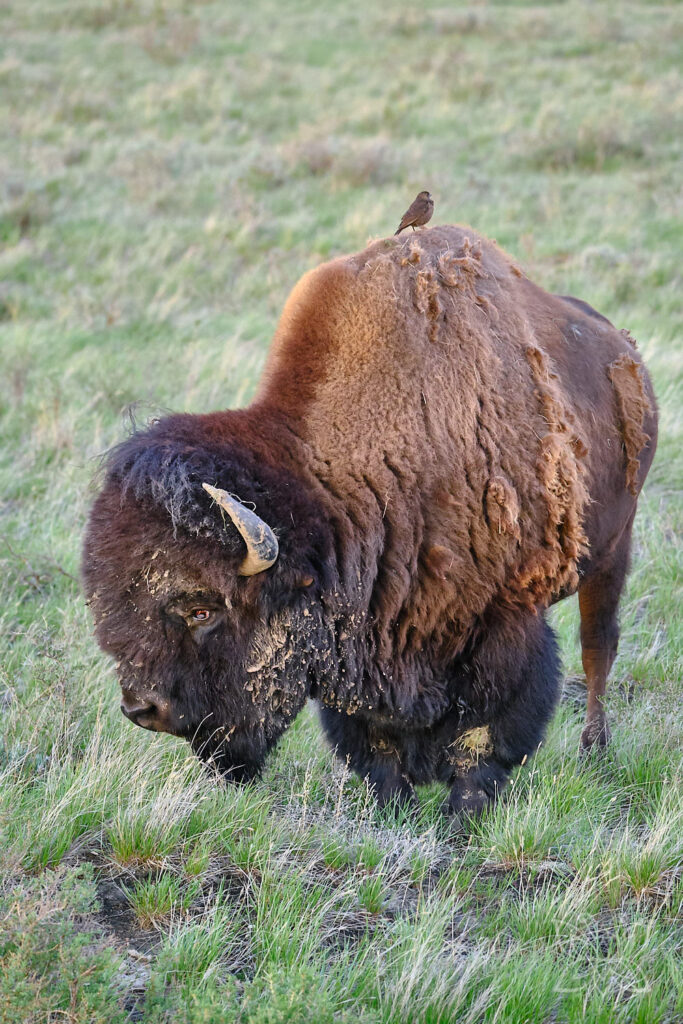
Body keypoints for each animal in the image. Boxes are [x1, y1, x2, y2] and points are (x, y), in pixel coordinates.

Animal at [83, 225, 657, 815]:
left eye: (203, 610)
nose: (142, 709)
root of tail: (621, 351)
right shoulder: (367, 635)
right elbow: (376, 738)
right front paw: (394, 801)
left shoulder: (507, 620)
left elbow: (485, 732)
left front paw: (464, 811)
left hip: (613, 548)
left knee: (597, 648)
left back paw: (595, 752)